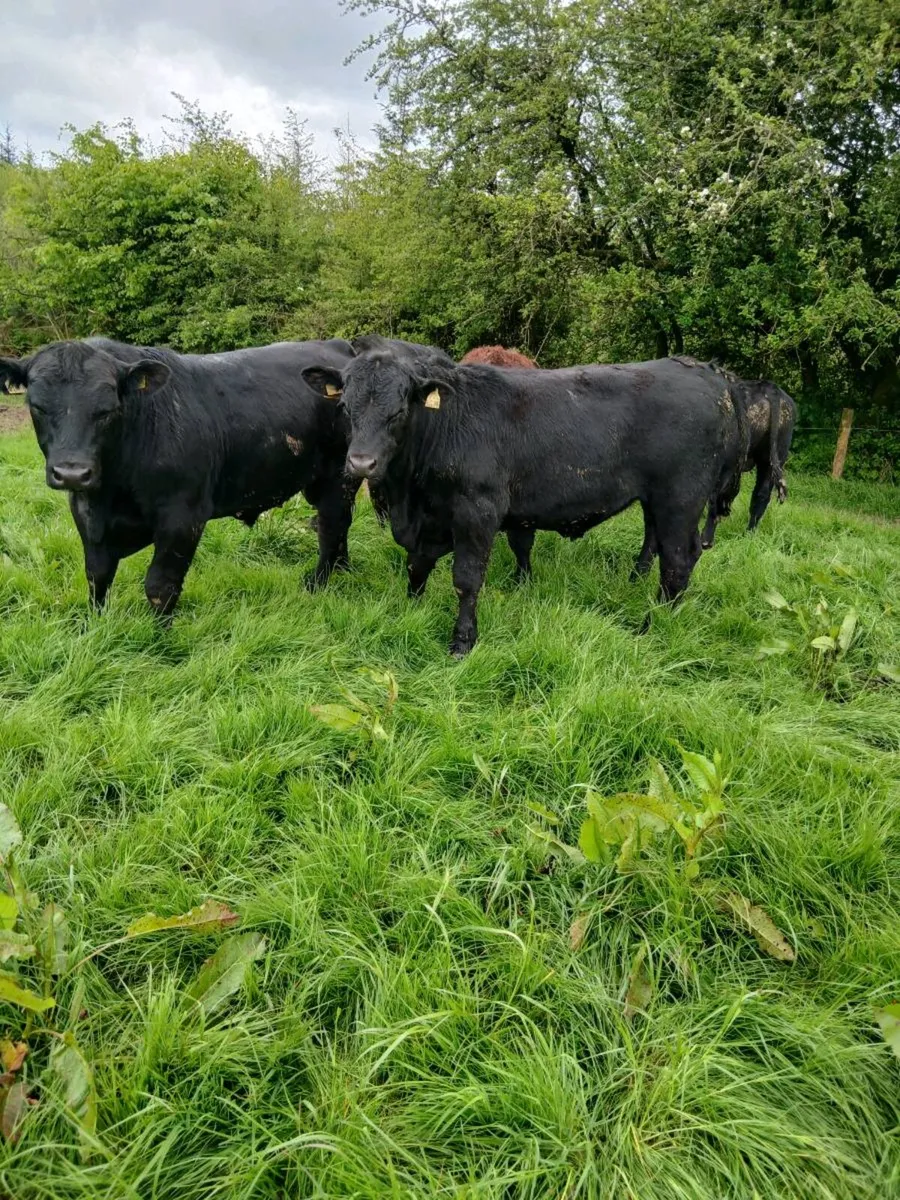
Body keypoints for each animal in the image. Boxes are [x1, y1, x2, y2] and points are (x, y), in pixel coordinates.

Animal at [0, 337, 359, 617]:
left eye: (107, 409)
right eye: (37, 406)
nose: (72, 473)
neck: (113, 489)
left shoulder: (183, 518)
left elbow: (160, 586)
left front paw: (159, 641)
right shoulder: (86, 513)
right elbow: (97, 576)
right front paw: (95, 627)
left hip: (340, 476)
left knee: (331, 527)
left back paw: (317, 584)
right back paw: (344, 570)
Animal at [301, 351, 747, 656]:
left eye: (397, 411)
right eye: (345, 407)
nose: (361, 463)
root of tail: (708, 371)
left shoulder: (477, 512)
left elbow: (466, 579)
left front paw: (462, 641)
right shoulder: (429, 521)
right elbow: (417, 565)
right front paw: (413, 608)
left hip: (680, 500)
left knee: (678, 561)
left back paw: (654, 624)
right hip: (657, 501)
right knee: (661, 547)